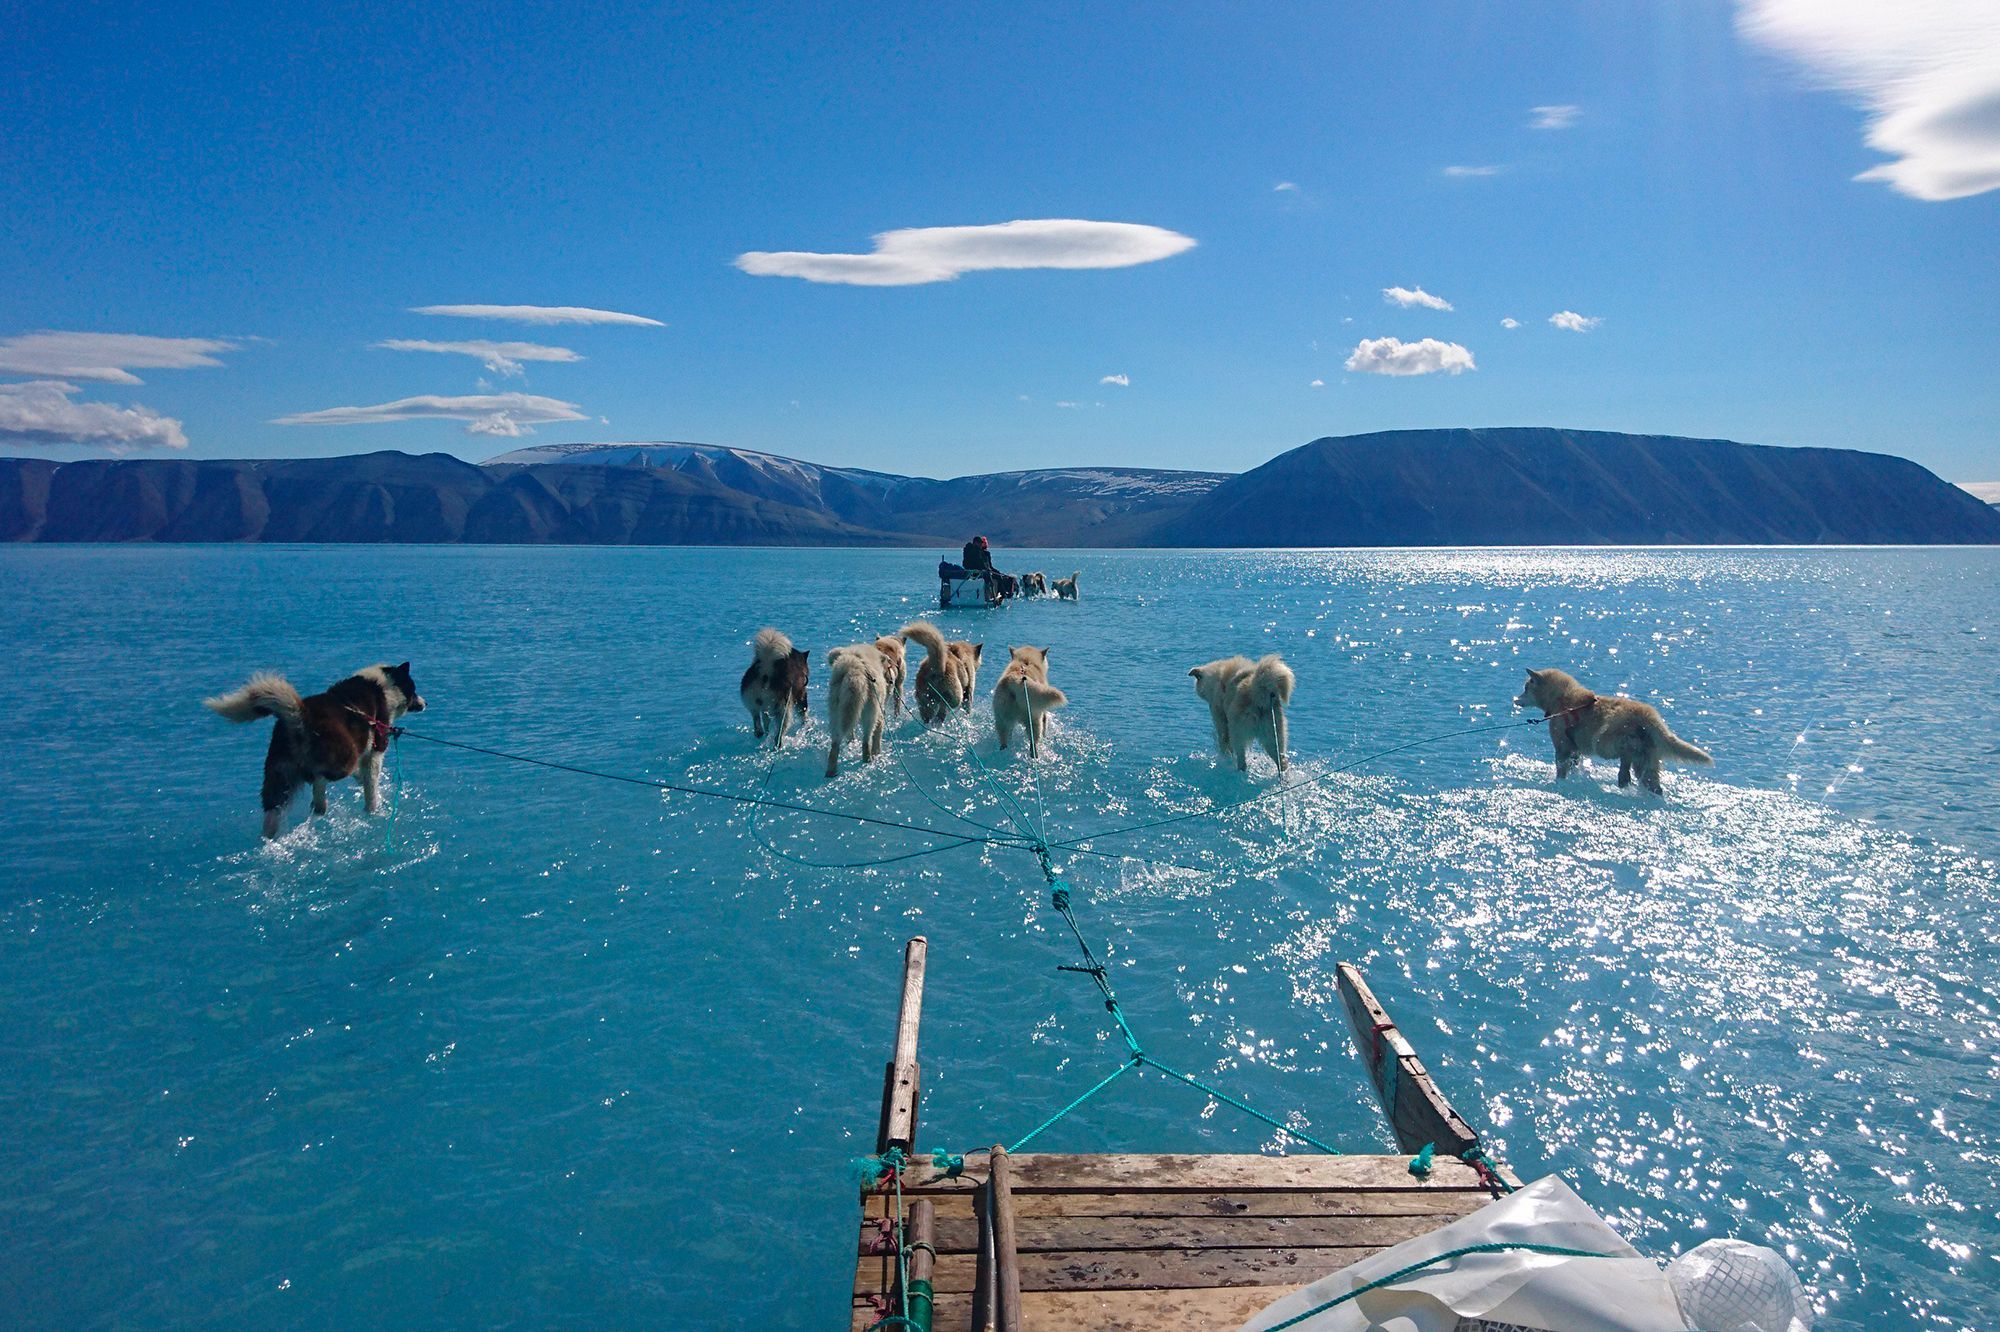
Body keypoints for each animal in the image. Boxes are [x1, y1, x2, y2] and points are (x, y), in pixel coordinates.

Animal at [207, 660, 426, 836]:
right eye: (414, 689)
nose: (425, 703)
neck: (383, 687)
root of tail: (300, 715)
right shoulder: (375, 751)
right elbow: (371, 786)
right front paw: (373, 809)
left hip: (278, 773)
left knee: (273, 808)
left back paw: (271, 835)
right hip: (343, 756)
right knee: (319, 777)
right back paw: (320, 804)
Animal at [1520, 664, 1712, 788]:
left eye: (1526, 688)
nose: (1516, 699)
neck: (1562, 699)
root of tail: (1650, 717)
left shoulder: (1562, 746)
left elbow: (1561, 768)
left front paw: (1559, 781)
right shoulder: (1574, 749)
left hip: (1608, 738)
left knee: (1624, 755)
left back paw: (1624, 775)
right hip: (1649, 759)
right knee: (1651, 781)